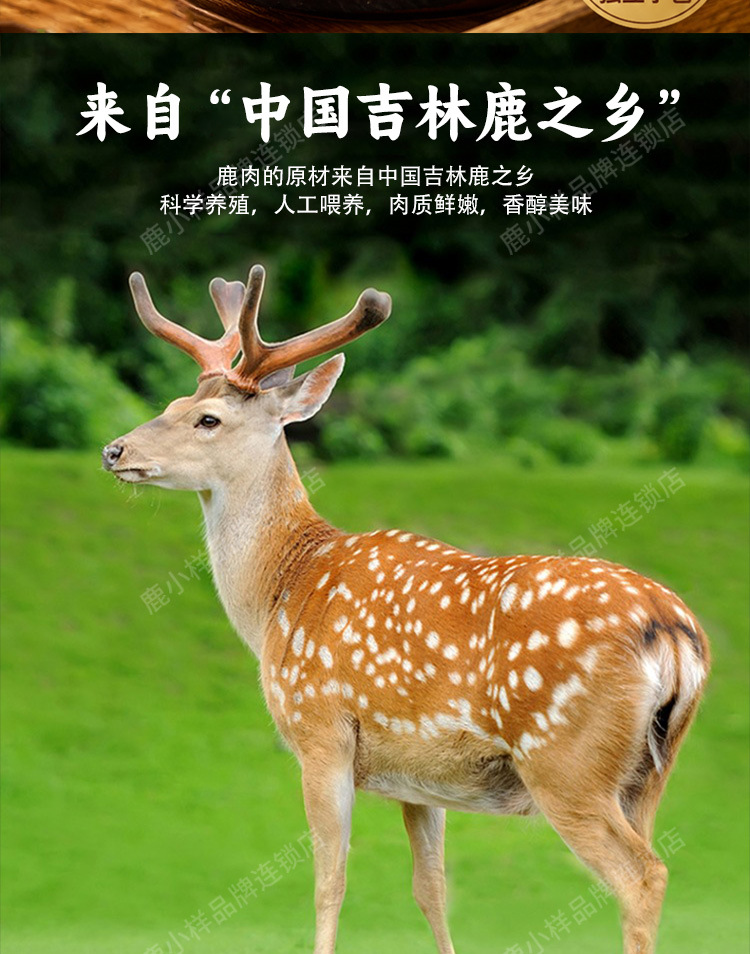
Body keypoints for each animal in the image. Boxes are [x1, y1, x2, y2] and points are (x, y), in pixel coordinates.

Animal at [103, 262, 709, 954]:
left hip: (565, 758)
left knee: (643, 876)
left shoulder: (321, 728)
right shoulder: (420, 776)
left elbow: (329, 883)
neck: (282, 591)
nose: (115, 450)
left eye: (207, 419)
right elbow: (432, 890)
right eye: (171, 406)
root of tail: (674, 633)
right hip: (648, 773)